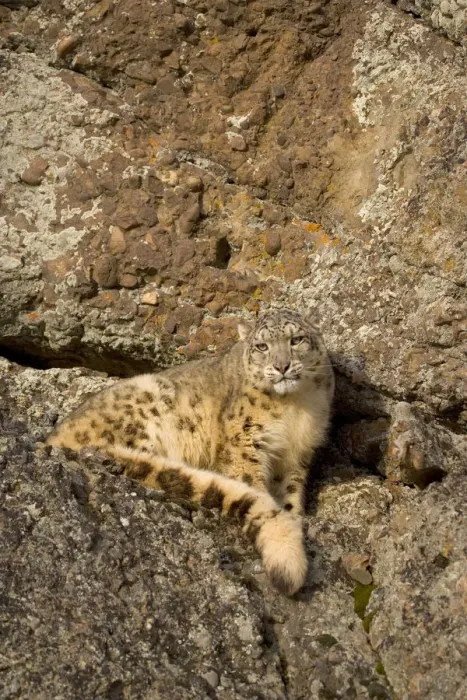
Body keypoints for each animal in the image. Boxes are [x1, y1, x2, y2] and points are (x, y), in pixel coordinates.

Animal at [46, 308, 334, 596]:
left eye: (296, 340)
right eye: (262, 346)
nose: (282, 366)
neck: (295, 410)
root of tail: (52, 438)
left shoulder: (296, 458)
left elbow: (290, 493)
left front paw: (295, 514)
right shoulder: (244, 442)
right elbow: (252, 481)